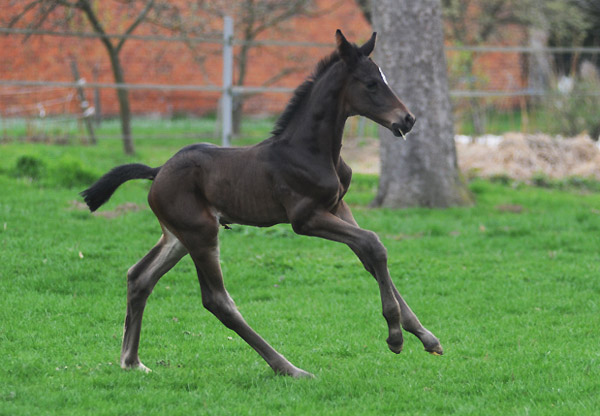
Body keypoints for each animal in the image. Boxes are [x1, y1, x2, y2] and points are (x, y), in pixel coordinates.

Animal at [82, 30, 442, 376]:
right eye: (371, 83)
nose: (407, 119)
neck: (310, 150)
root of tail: (157, 171)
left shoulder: (338, 207)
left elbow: (369, 255)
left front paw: (425, 336)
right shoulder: (305, 218)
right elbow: (374, 243)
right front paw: (395, 336)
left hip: (178, 236)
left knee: (139, 277)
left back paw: (131, 360)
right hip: (200, 233)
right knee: (216, 300)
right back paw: (289, 368)